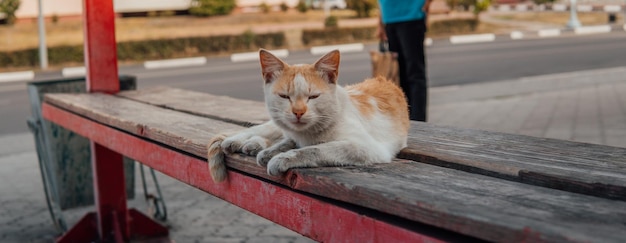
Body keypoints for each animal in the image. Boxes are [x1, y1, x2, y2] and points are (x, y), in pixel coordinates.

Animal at [206, 49, 410, 182]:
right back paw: (240, 142)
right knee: (261, 131)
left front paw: (280, 157)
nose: (298, 112)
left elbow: (315, 149)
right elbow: (290, 142)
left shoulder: (364, 147)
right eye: (285, 96)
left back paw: (254, 146)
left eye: (313, 97)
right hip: (274, 124)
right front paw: (272, 151)